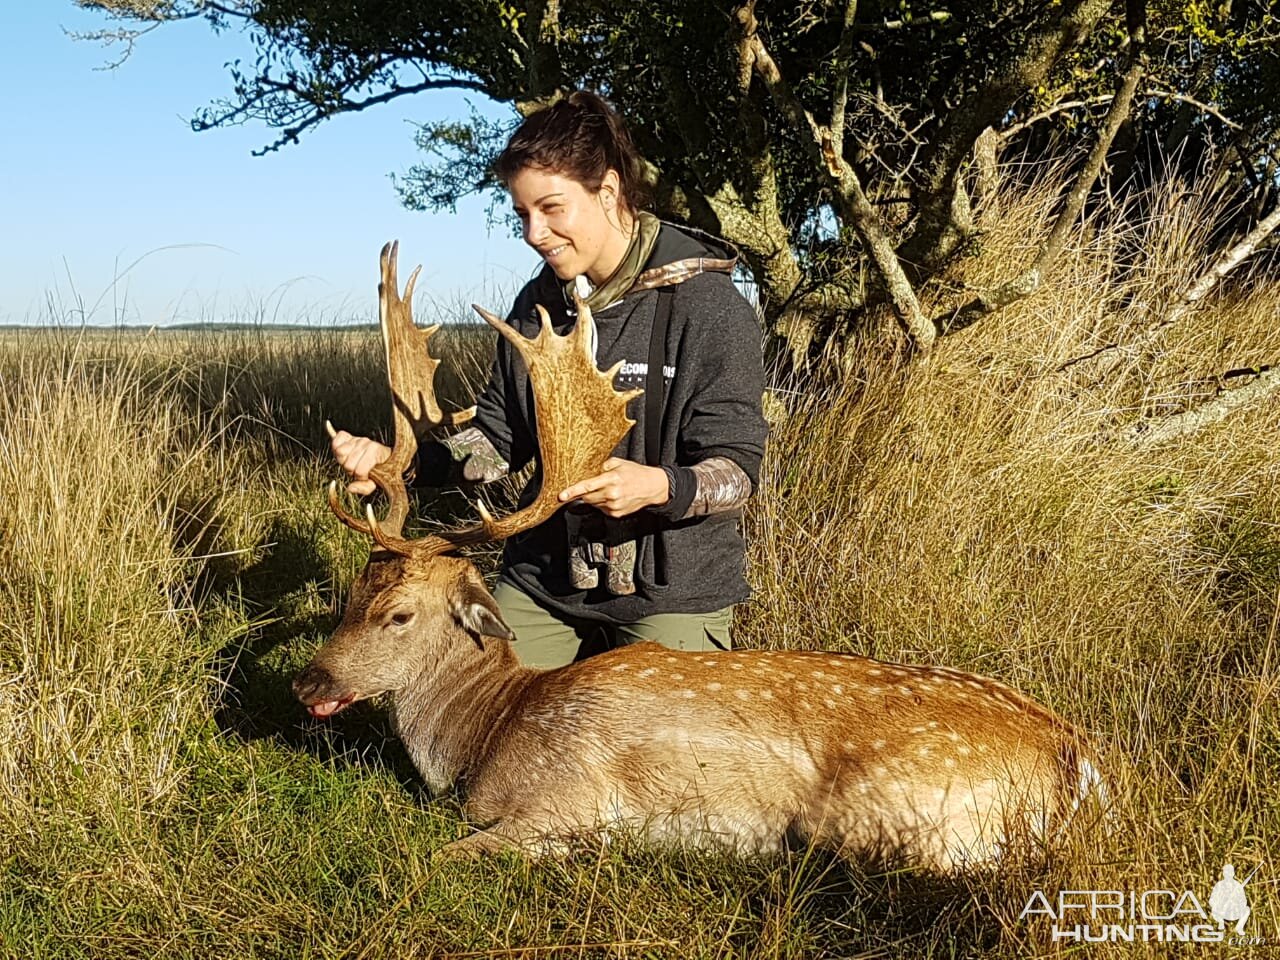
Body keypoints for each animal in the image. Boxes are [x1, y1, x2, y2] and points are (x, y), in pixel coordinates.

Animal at [293, 241, 1100, 870]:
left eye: (399, 615)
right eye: (352, 594)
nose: (308, 682)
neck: (486, 737)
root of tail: (1079, 764)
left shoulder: (562, 800)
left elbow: (447, 852)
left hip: (893, 821)